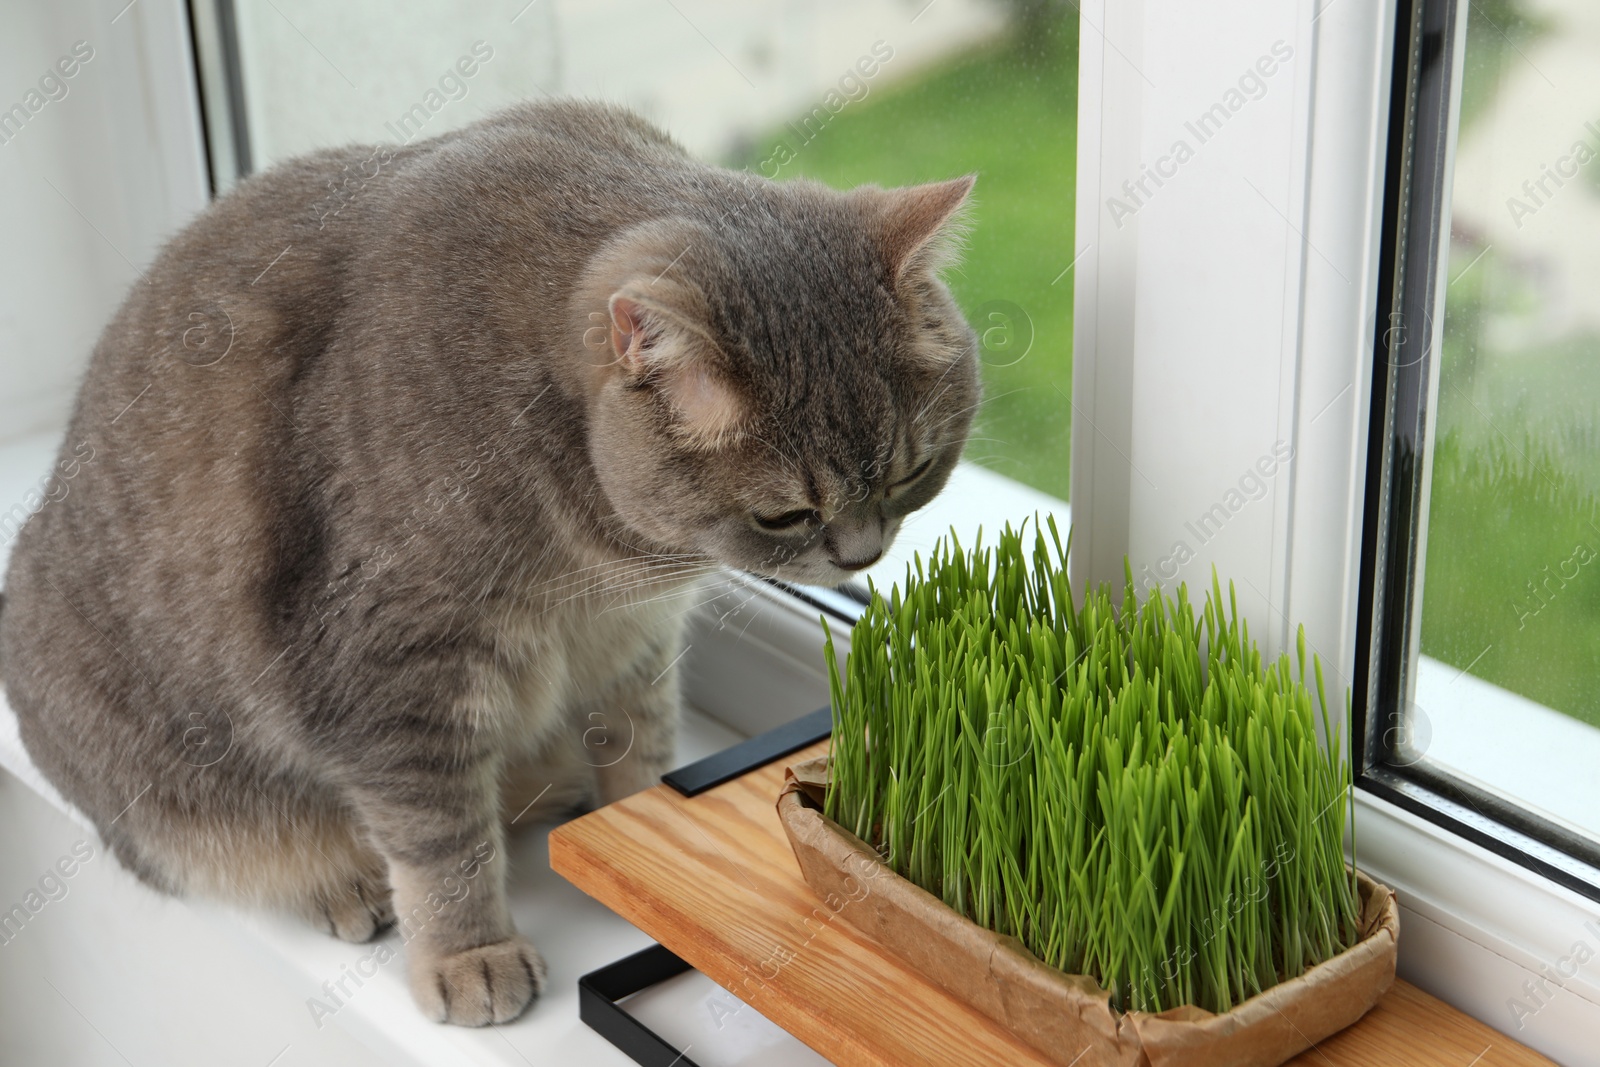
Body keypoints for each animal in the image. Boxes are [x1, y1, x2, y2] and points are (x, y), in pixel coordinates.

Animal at [0, 99, 972, 1023]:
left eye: (912, 471)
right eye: (784, 514)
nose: (863, 553)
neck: (611, 553)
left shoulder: (634, 637)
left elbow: (643, 746)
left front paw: (632, 822)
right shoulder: (394, 675)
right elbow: (441, 840)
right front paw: (467, 953)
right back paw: (346, 884)